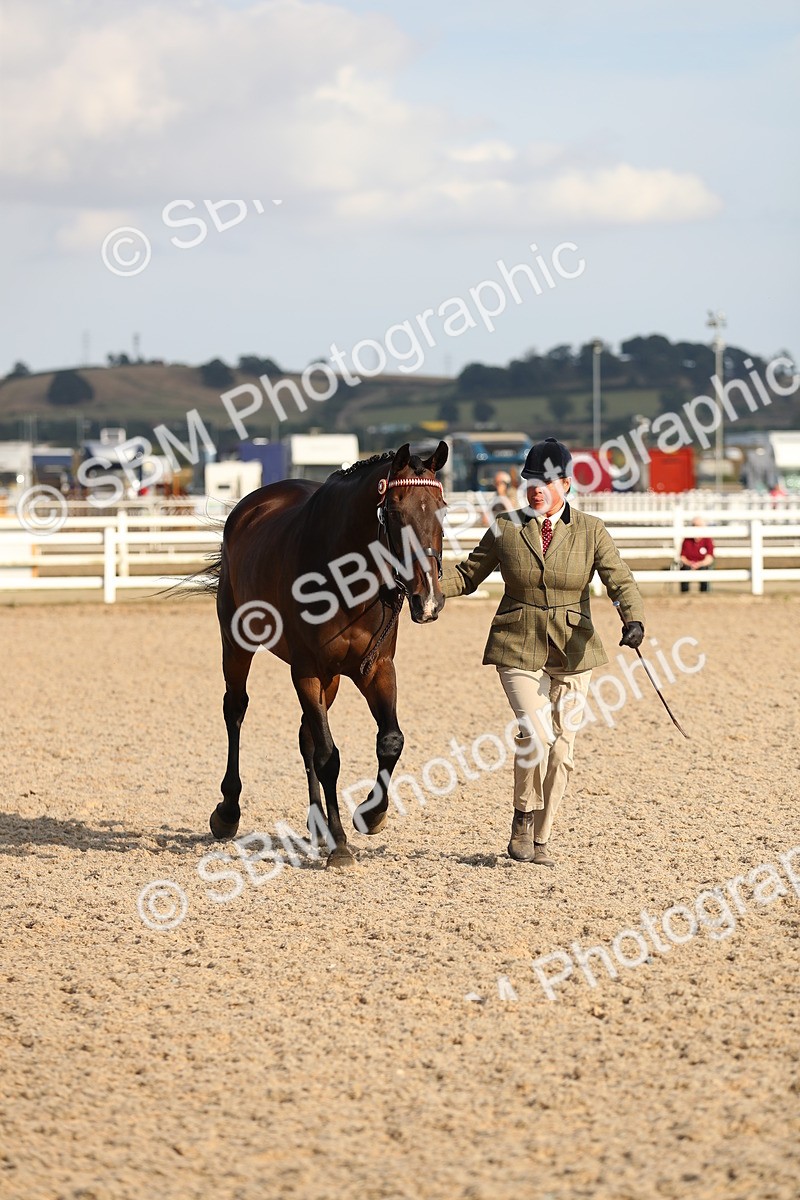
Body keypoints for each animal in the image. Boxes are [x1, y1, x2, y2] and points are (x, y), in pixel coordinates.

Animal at [207, 441, 449, 868]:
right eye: (394, 512)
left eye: (442, 508)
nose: (429, 600)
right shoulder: (308, 671)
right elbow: (328, 756)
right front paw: (339, 844)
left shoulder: (376, 669)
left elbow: (390, 740)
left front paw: (371, 814)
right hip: (236, 644)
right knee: (235, 709)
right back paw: (228, 811)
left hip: (333, 679)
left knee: (305, 733)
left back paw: (317, 824)